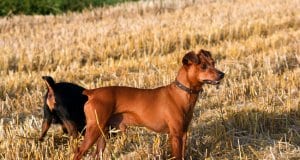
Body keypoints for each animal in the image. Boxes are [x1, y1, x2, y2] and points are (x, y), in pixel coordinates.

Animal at [74, 49, 225, 159]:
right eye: (203, 66)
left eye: (213, 63)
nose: (222, 74)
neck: (182, 93)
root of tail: (92, 92)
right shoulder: (175, 135)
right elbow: (177, 156)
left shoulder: (183, 133)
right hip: (94, 129)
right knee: (78, 152)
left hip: (103, 134)